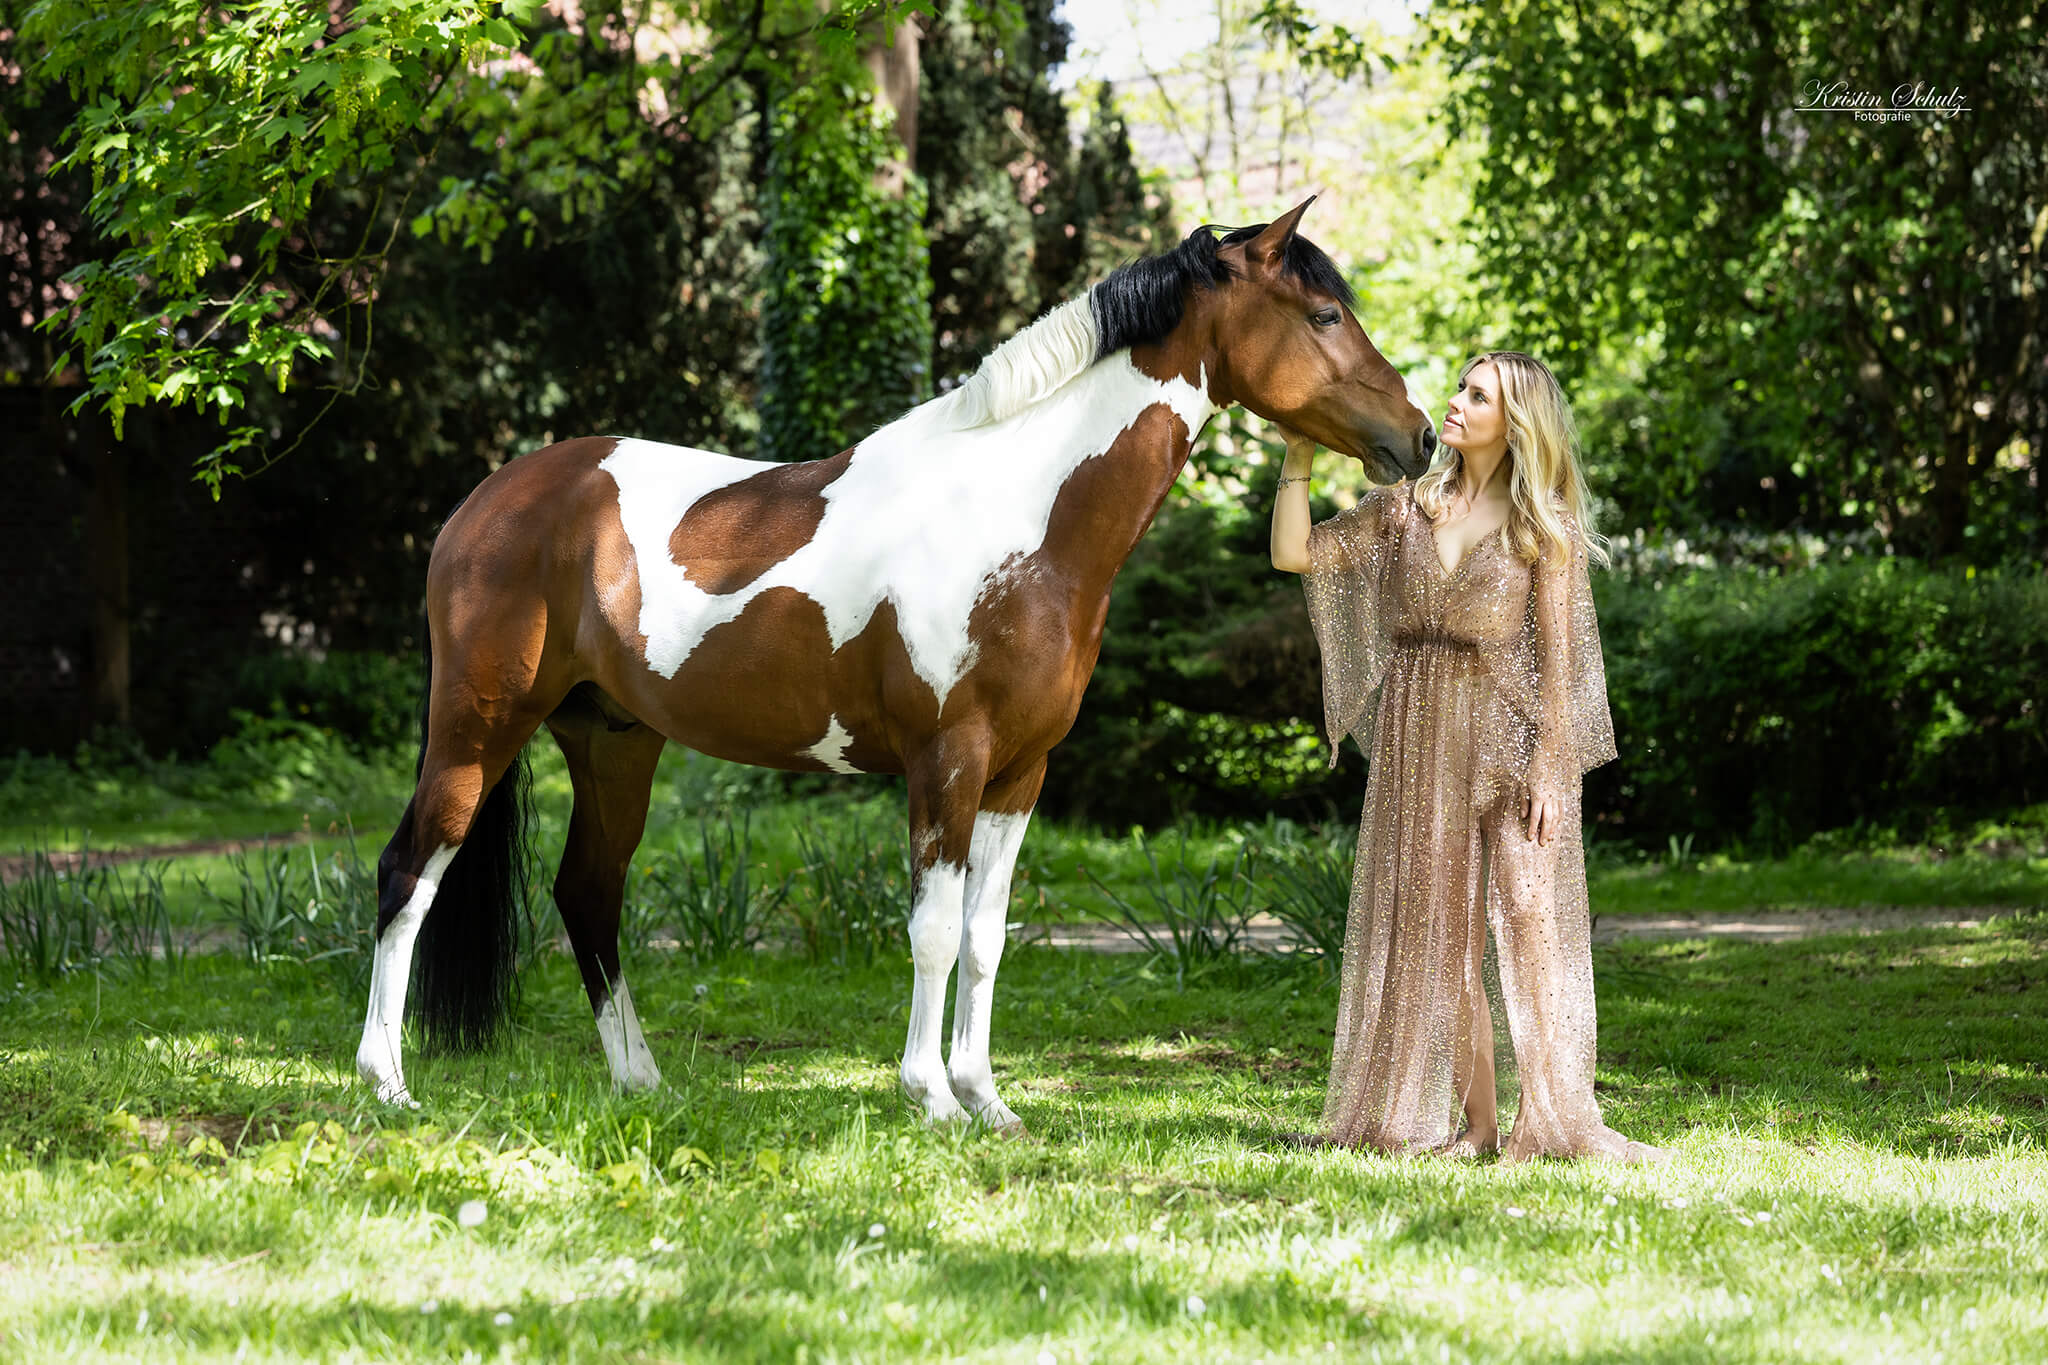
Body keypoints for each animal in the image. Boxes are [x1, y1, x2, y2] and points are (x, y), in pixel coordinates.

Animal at [357, 196, 1437, 1130]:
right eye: (1323, 313)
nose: (1419, 437)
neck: (1020, 518)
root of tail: (485, 502)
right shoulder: (946, 759)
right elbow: (932, 925)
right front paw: (930, 1097)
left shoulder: (1020, 772)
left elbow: (986, 936)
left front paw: (988, 1099)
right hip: (478, 727)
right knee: (410, 871)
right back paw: (388, 1083)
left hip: (613, 742)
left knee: (588, 892)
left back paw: (640, 1081)